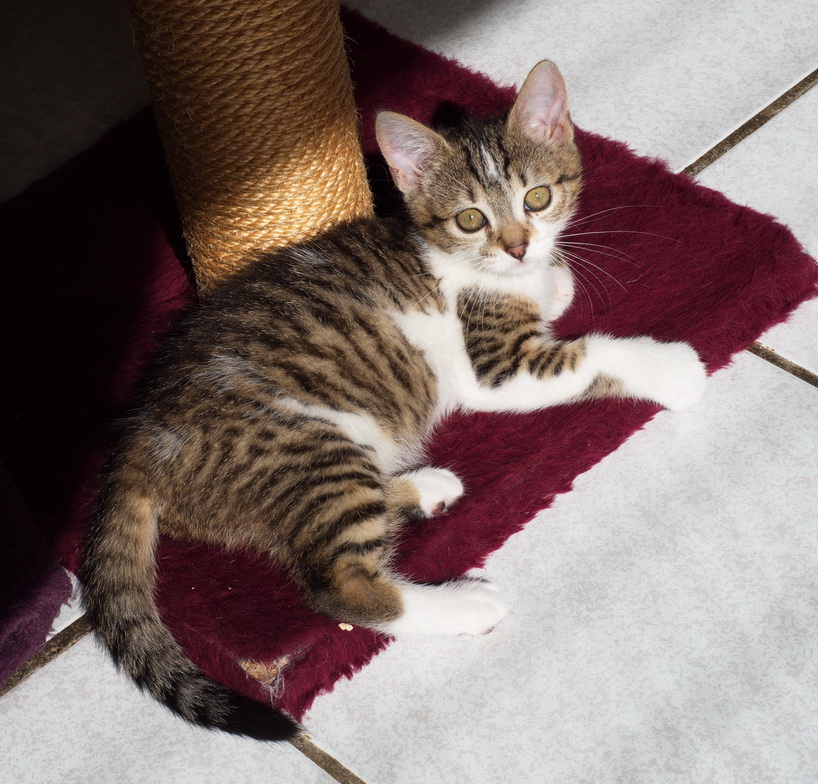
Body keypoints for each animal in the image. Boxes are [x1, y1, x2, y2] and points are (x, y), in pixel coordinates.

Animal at [84, 61, 708, 740]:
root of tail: (141, 435)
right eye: (470, 220)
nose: (518, 246)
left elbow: (558, 289)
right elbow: (591, 352)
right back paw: (464, 601)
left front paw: (556, 274)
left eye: (536, 198)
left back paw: (424, 486)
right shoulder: (496, 367)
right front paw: (673, 367)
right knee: (341, 587)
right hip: (311, 445)